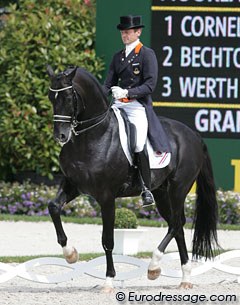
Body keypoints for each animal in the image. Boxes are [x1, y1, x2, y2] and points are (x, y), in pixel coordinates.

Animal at [47, 64, 219, 290]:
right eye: (51, 97)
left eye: (68, 97)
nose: (61, 136)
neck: (93, 136)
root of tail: (194, 135)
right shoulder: (73, 185)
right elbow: (53, 207)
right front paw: (70, 254)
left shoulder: (106, 197)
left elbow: (108, 240)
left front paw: (109, 281)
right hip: (161, 193)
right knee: (178, 225)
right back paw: (185, 279)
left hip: (178, 189)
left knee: (175, 224)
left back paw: (154, 267)